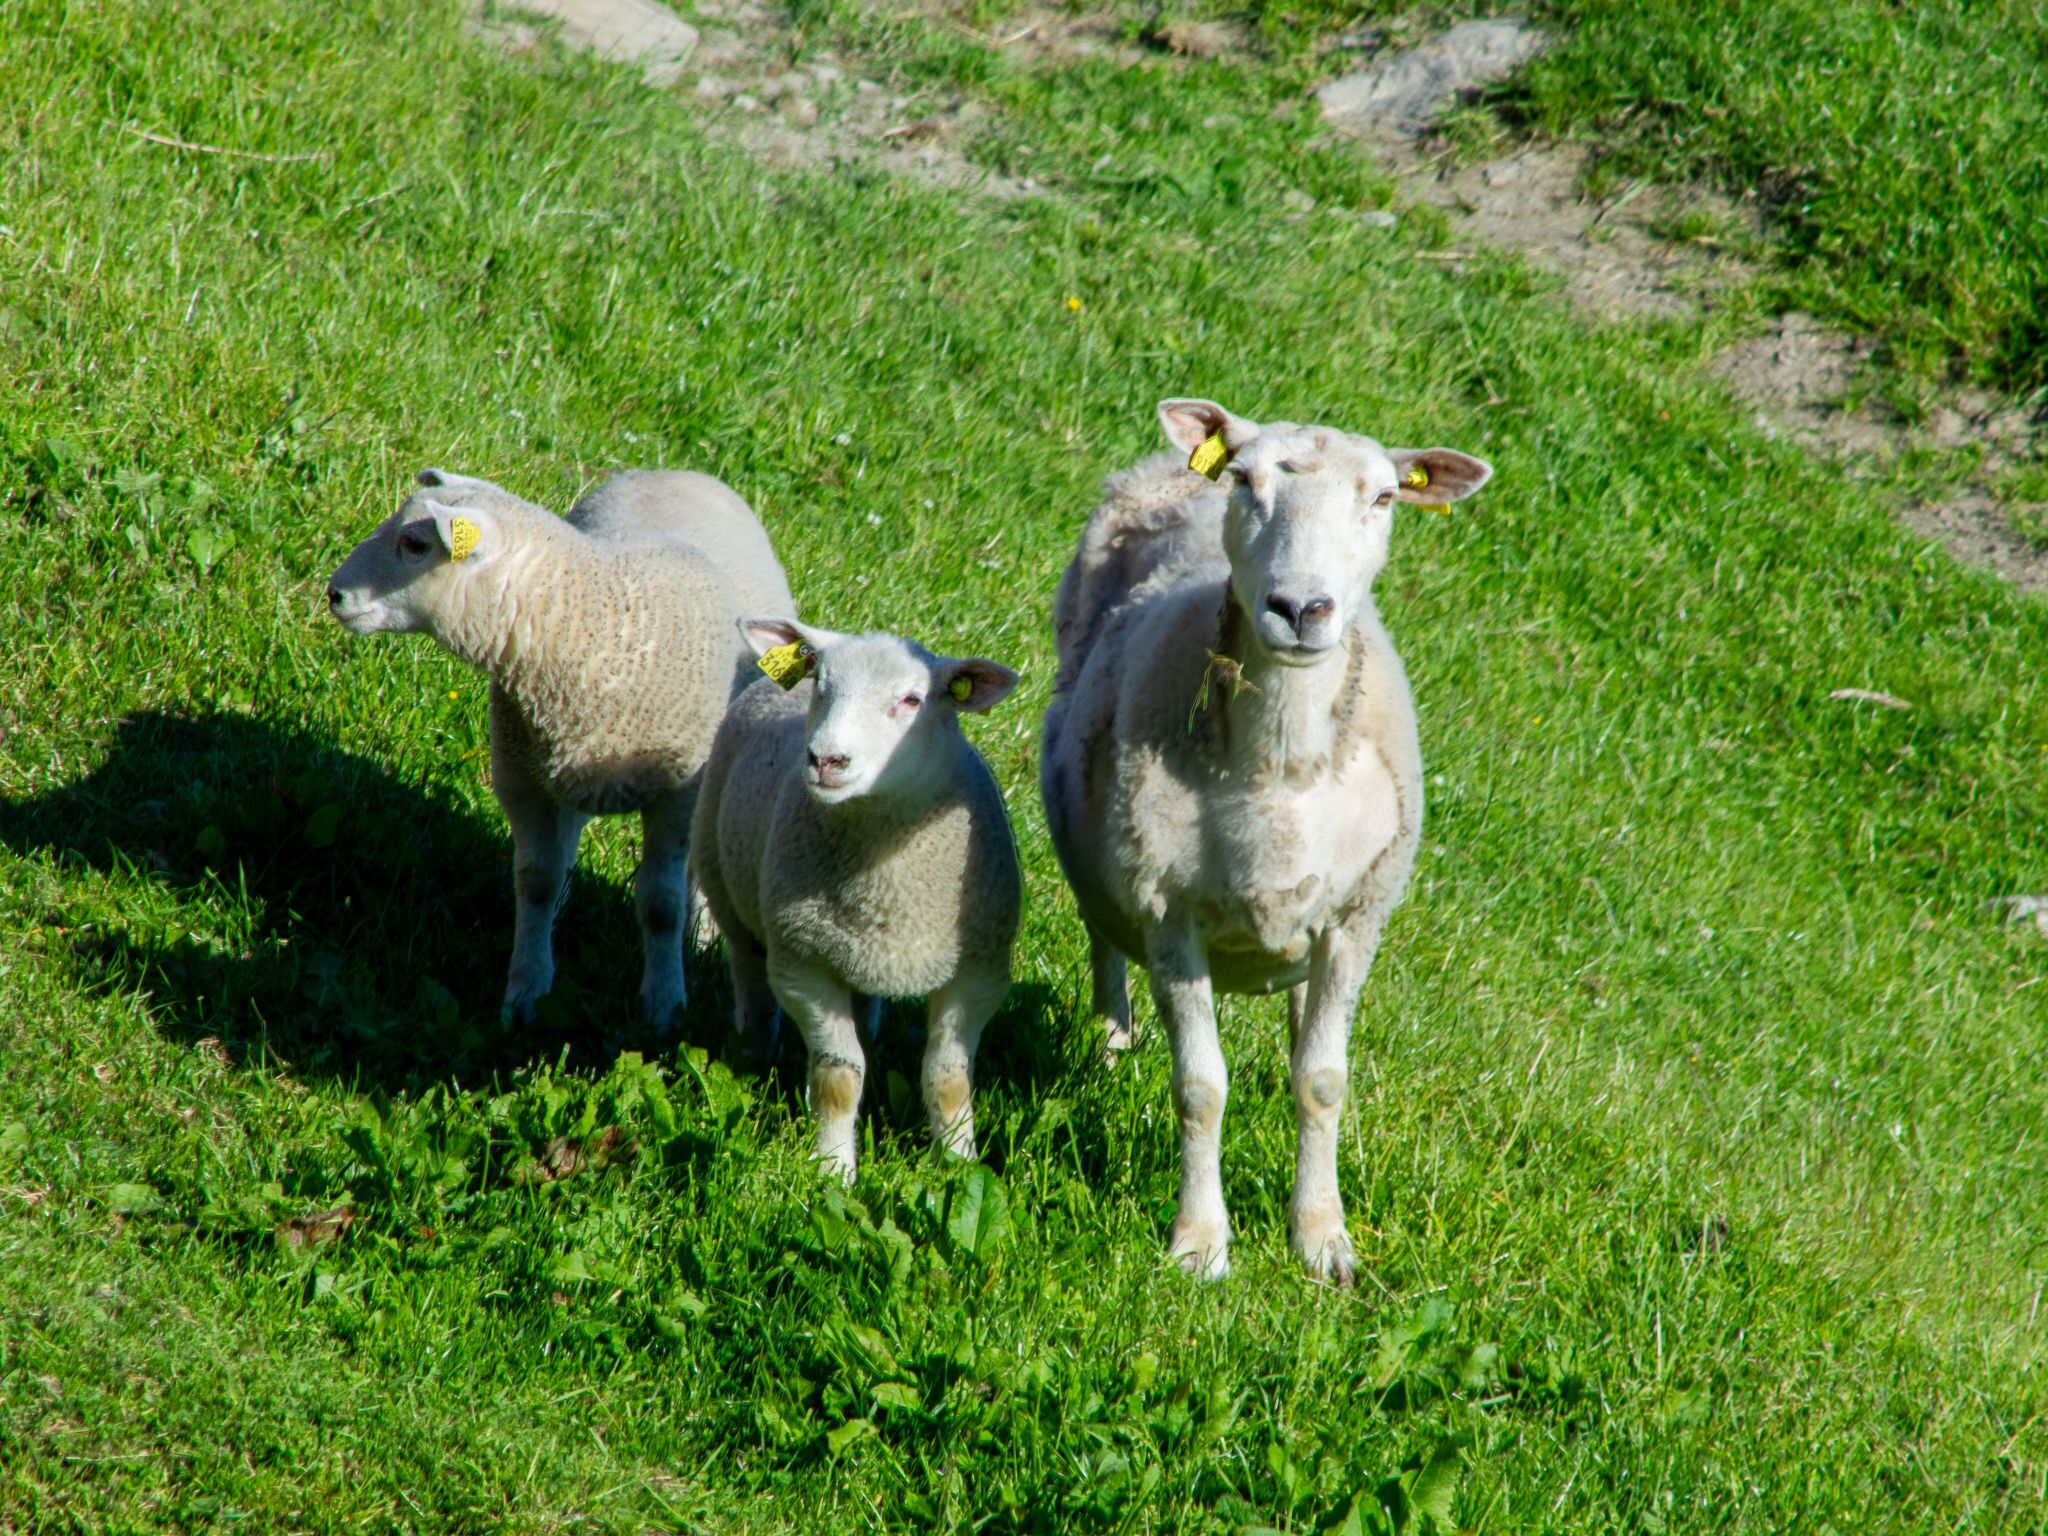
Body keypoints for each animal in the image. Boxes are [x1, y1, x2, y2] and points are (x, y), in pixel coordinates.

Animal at [326, 467, 796, 1028]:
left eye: (415, 545)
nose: (334, 594)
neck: (599, 623)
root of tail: (676, 470)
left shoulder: (678, 792)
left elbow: (660, 903)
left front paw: (663, 1006)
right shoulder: (522, 780)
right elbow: (536, 881)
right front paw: (526, 989)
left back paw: (703, 936)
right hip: (561, 768)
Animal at [691, 619, 1022, 1180]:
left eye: (913, 700)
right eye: (821, 684)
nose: (826, 759)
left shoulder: (979, 970)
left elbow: (948, 1075)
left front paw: (958, 1164)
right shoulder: (803, 964)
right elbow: (838, 1078)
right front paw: (833, 1171)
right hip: (726, 887)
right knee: (749, 971)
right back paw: (754, 1053)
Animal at [1039, 398, 1491, 1283]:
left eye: (1384, 497)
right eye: (1245, 481)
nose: (1301, 609)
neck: (1279, 770)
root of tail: (1158, 466)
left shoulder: (1355, 920)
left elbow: (1321, 1080)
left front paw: (1321, 1239)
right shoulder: (1170, 915)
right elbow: (1200, 1088)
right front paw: (1199, 1242)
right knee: (1101, 935)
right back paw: (1111, 1044)